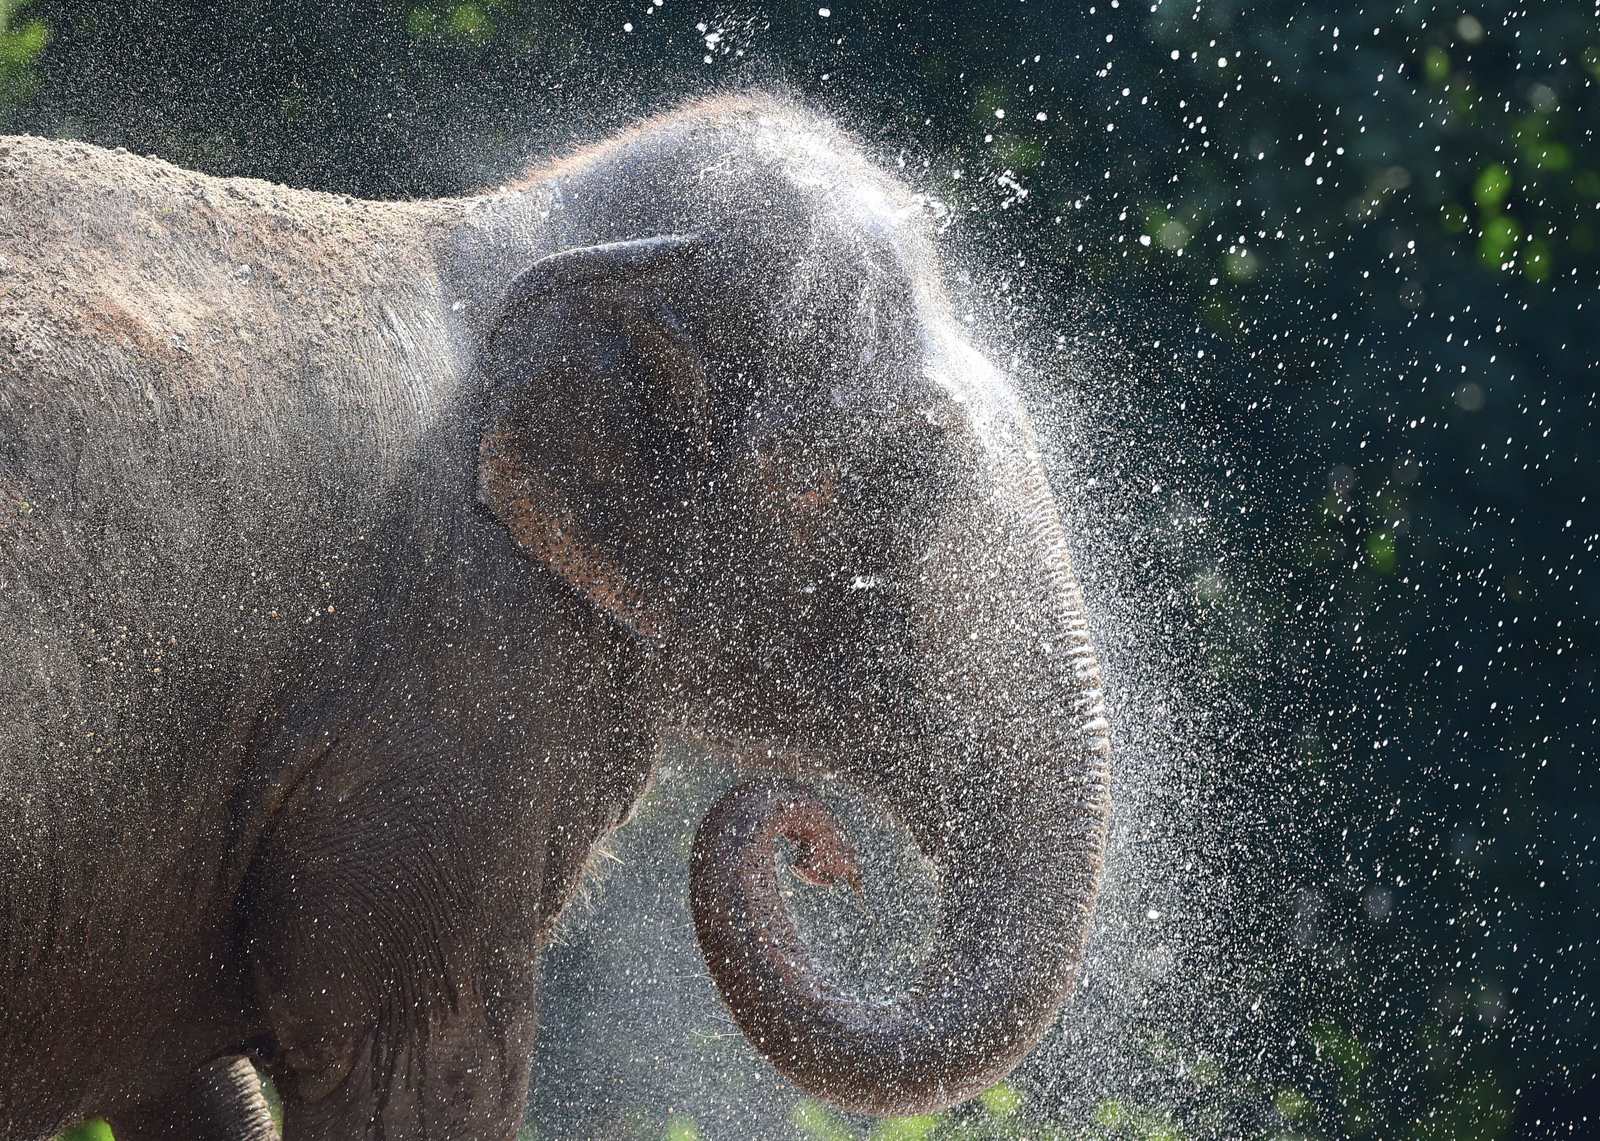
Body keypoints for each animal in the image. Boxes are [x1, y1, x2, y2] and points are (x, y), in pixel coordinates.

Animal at [0, 93, 1111, 1140]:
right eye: (884, 478)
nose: (824, 856)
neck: (536, 228)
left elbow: (185, 1082)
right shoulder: (459, 684)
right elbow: (424, 1074)